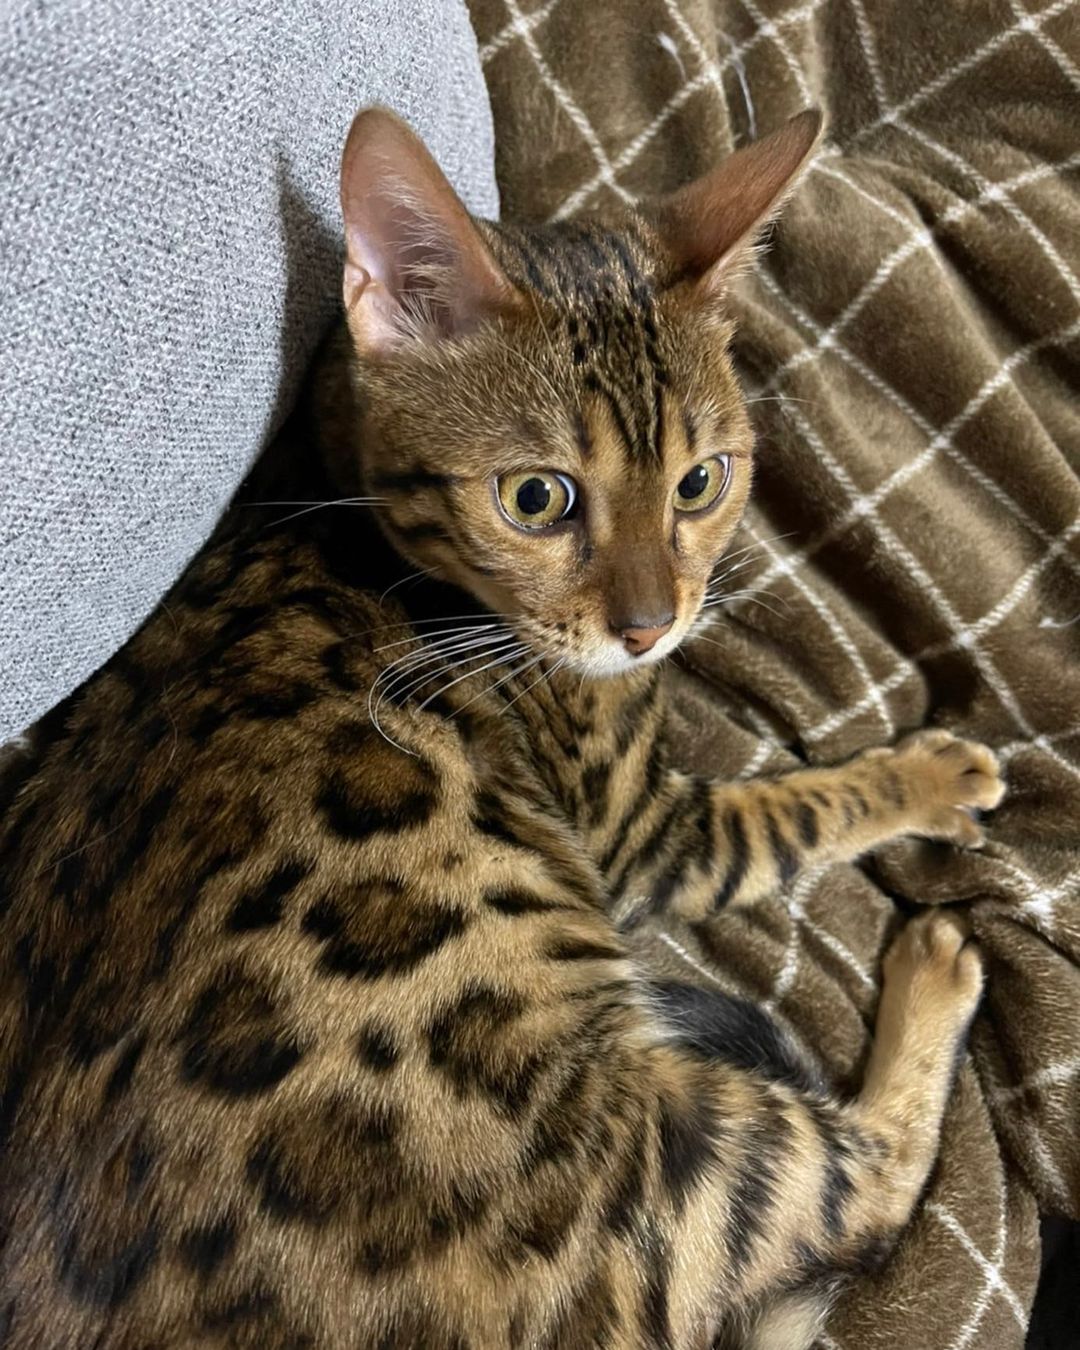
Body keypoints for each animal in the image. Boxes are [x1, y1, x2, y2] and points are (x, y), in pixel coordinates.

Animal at [0, 106, 1004, 1349]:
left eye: (701, 483)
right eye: (537, 498)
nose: (651, 625)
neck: (325, 487)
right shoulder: (646, 834)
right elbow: (803, 802)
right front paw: (935, 772)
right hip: (654, 1143)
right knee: (865, 1185)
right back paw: (934, 972)